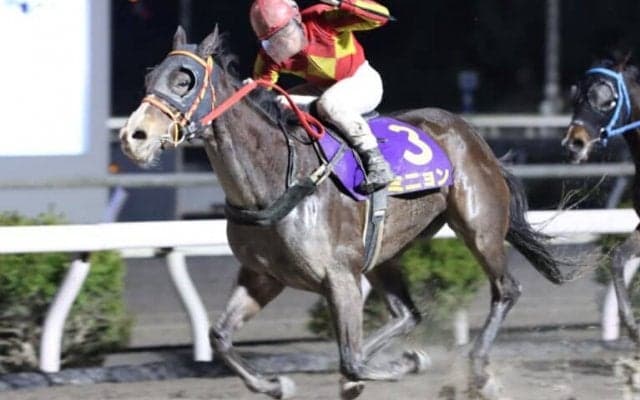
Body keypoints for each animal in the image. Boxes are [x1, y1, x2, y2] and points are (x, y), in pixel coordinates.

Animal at [120, 26, 572, 399]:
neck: (274, 180)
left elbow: (351, 359)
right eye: (148, 78)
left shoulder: (339, 277)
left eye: (185, 80)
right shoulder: (263, 276)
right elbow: (219, 337)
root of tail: (471, 133)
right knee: (408, 313)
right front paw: (276, 383)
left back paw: (478, 372)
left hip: (479, 226)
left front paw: (407, 363)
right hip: (384, 253)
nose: (132, 137)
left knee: (505, 289)